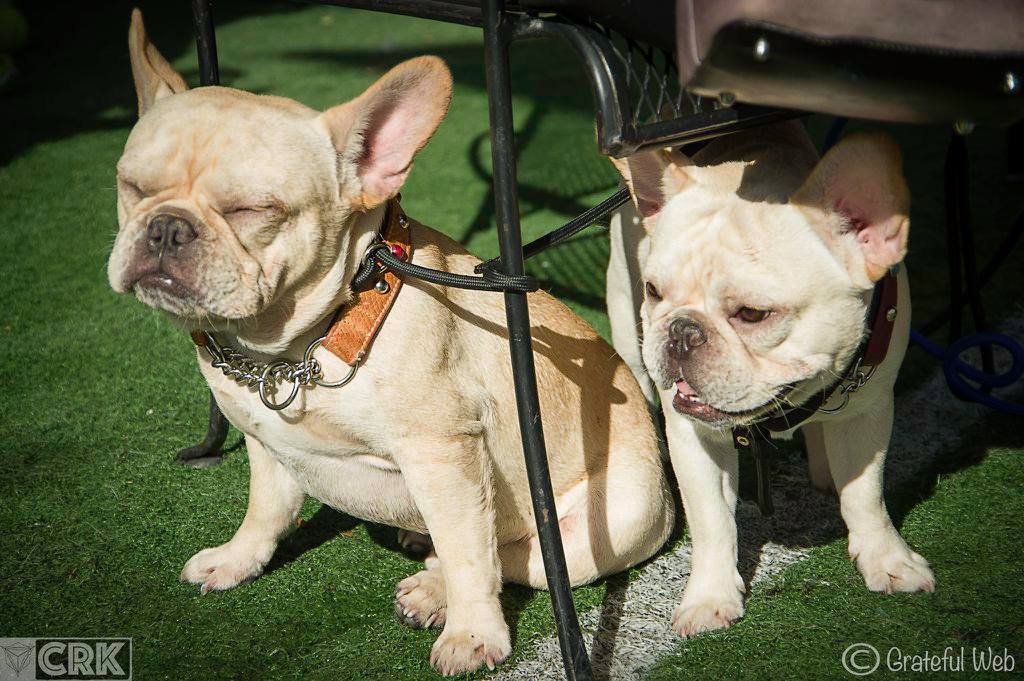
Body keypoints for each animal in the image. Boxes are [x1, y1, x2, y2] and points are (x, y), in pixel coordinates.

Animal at [108, 10, 675, 676]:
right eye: (130, 185)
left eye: (251, 210)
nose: (166, 228)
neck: (303, 343)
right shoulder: (266, 441)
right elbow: (266, 507)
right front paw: (239, 557)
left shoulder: (442, 453)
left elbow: (469, 553)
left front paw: (472, 633)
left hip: (611, 523)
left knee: (511, 555)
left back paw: (433, 590)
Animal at [607, 120, 934, 638]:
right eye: (655, 291)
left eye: (752, 314)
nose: (682, 330)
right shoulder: (694, 434)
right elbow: (711, 519)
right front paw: (710, 597)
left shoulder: (868, 411)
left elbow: (865, 495)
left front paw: (887, 559)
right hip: (625, 322)